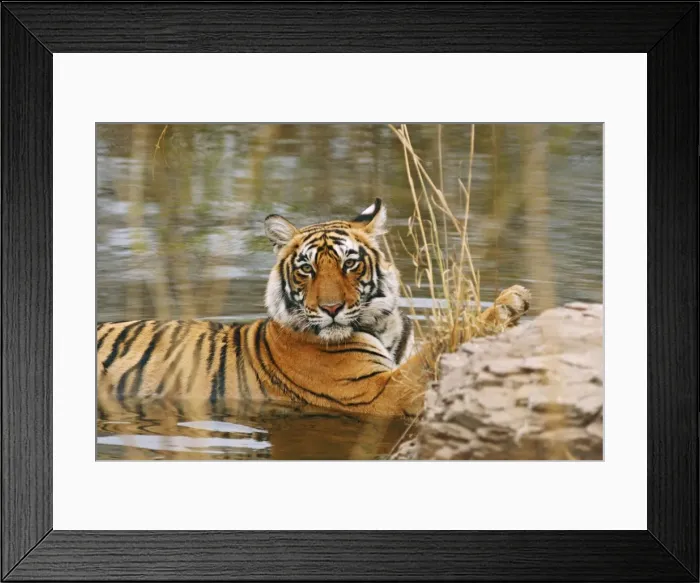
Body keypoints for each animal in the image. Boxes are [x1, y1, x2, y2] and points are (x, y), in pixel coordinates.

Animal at [97, 199, 530, 418]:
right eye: (306, 268)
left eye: (350, 263)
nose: (332, 308)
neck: (380, 325)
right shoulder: (381, 393)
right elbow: (436, 350)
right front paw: (510, 301)